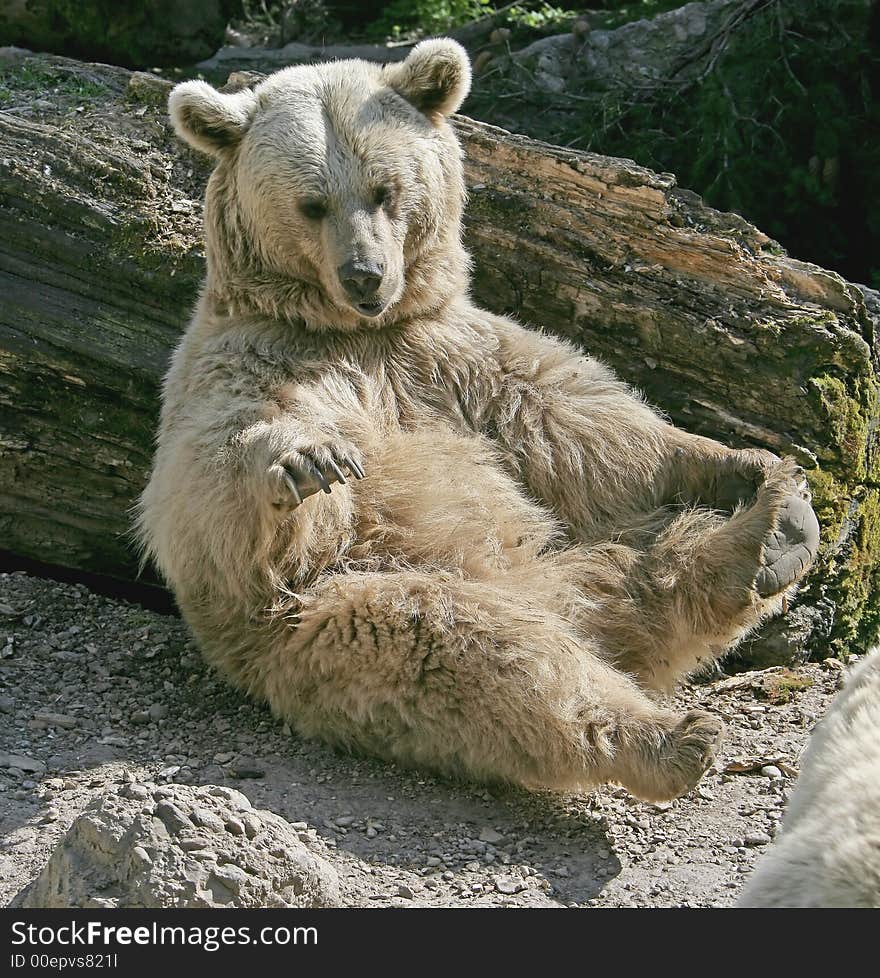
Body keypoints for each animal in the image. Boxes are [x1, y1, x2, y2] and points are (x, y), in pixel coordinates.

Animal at [136, 40, 820, 800]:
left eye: (384, 189)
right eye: (312, 202)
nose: (365, 274)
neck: (354, 331)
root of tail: (569, 607)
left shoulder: (458, 357)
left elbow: (588, 427)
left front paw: (740, 459)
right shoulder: (251, 362)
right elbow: (215, 488)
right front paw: (305, 460)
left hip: (585, 551)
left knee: (653, 556)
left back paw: (769, 536)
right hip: (340, 614)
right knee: (478, 649)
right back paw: (669, 733)